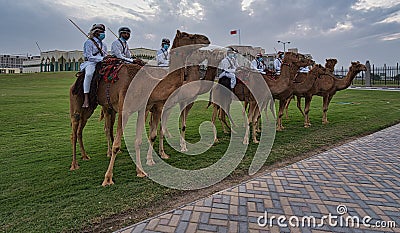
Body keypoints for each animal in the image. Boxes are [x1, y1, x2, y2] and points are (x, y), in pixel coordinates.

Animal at [68, 29, 209, 186]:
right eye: (187, 35)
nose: (206, 39)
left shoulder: (144, 109)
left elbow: (141, 139)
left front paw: (141, 170)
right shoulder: (127, 110)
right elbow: (119, 143)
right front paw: (108, 178)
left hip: (97, 108)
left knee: (84, 129)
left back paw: (86, 156)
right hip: (79, 102)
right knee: (76, 129)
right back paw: (75, 164)